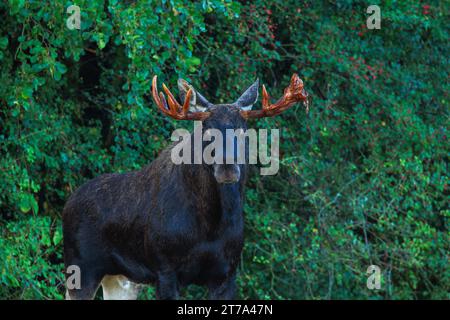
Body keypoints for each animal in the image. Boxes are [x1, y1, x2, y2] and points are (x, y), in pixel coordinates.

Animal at [61, 74, 308, 298]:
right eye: (206, 129)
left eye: (243, 129)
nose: (227, 168)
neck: (210, 225)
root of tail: (67, 203)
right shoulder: (165, 270)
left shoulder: (226, 275)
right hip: (81, 269)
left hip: (121, 279)